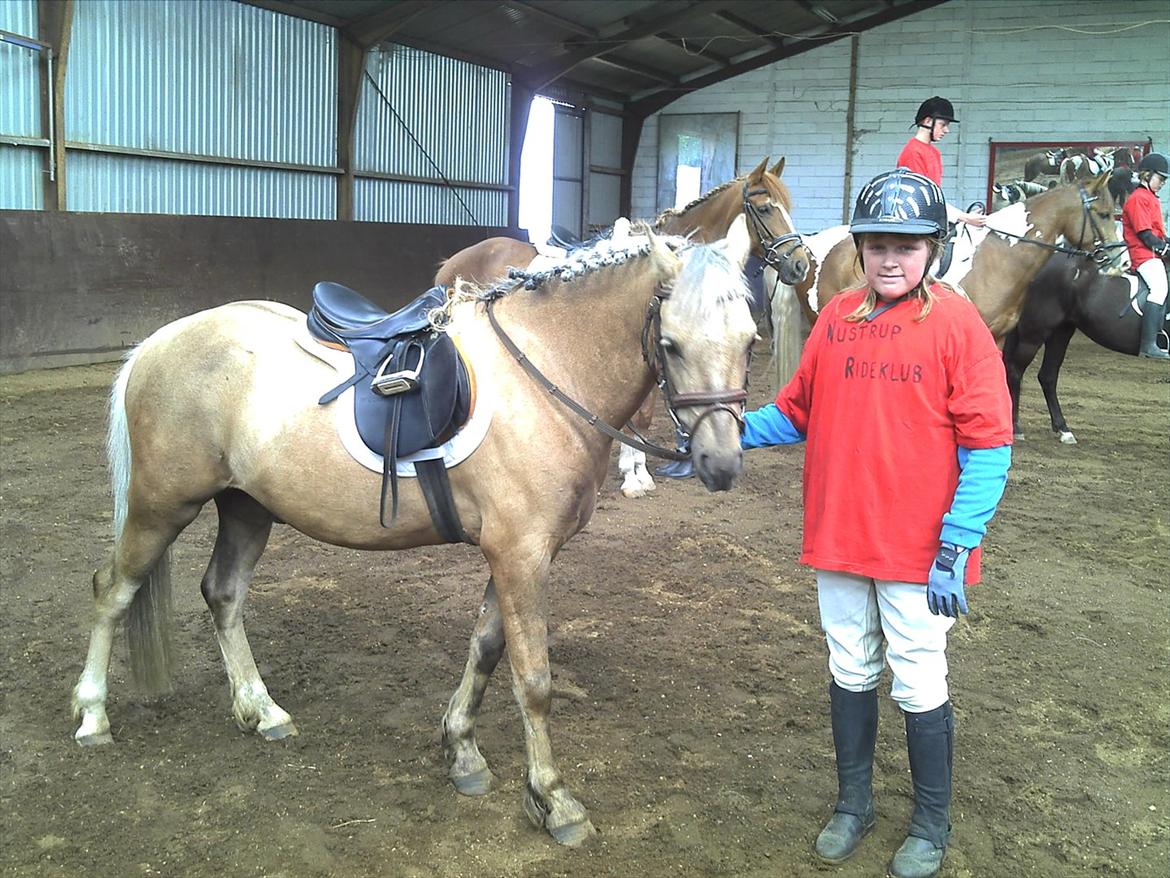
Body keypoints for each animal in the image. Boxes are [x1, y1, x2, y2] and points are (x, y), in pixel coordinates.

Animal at [70, 215, 758, 847]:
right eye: (670, 343)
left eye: (750, 340)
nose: (721, 464)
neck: (546, 369)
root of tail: (159, 341)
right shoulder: (521, 554)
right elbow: (533, 680)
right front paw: (554, 800)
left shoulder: (514, 554)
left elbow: (485, 651)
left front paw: (462, 752)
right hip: (163, 504)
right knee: (112, 590)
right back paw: (93, 716)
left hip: (246, 506)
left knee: (223, 594)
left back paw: (261, 711)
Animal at [1001, 254, 1165, 447]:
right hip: (1034, 334)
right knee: (1015, 372)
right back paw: (1016, 428)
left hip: (1061, 331)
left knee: (1047, 376)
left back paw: (1063, 429)